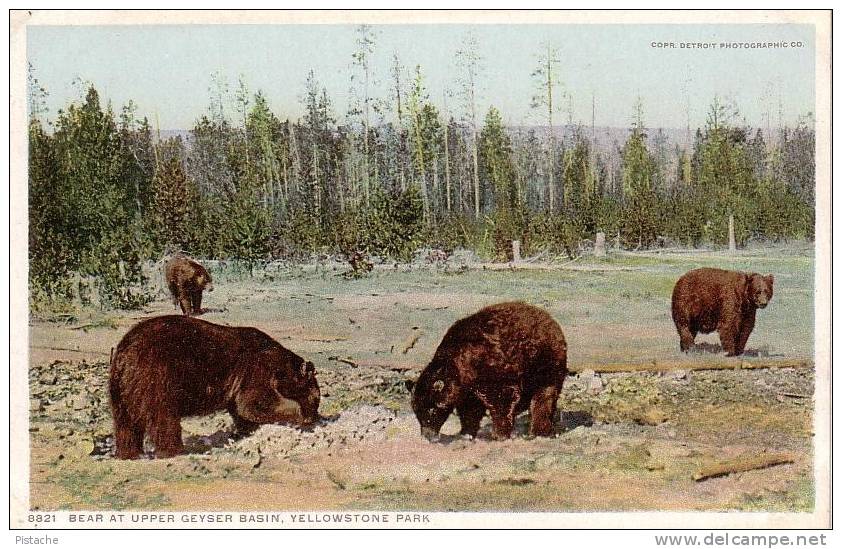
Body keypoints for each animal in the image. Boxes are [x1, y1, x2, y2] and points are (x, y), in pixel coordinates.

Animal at [110, 314, 320, 456]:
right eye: (316, 399)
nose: (316, 417)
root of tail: (124, 353)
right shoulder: (257, 367)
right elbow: (253, 403)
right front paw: (300, 416)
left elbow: (242, 409)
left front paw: (248, 431)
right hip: (157, 374)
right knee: (164, 416)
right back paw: (175, 450)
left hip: (121, 386)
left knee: (125, 422)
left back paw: (129, 453)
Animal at [406, 302, 568, 438]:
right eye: (417, 411)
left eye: (431, 409)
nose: (427, 435)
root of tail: (551, 321)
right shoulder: (467, 388)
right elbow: (470, 409)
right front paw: (466, 433)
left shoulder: (492, 368)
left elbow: (501, 401)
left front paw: (499, 433)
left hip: (543, 363)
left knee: (543, 396)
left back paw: (538, 430)